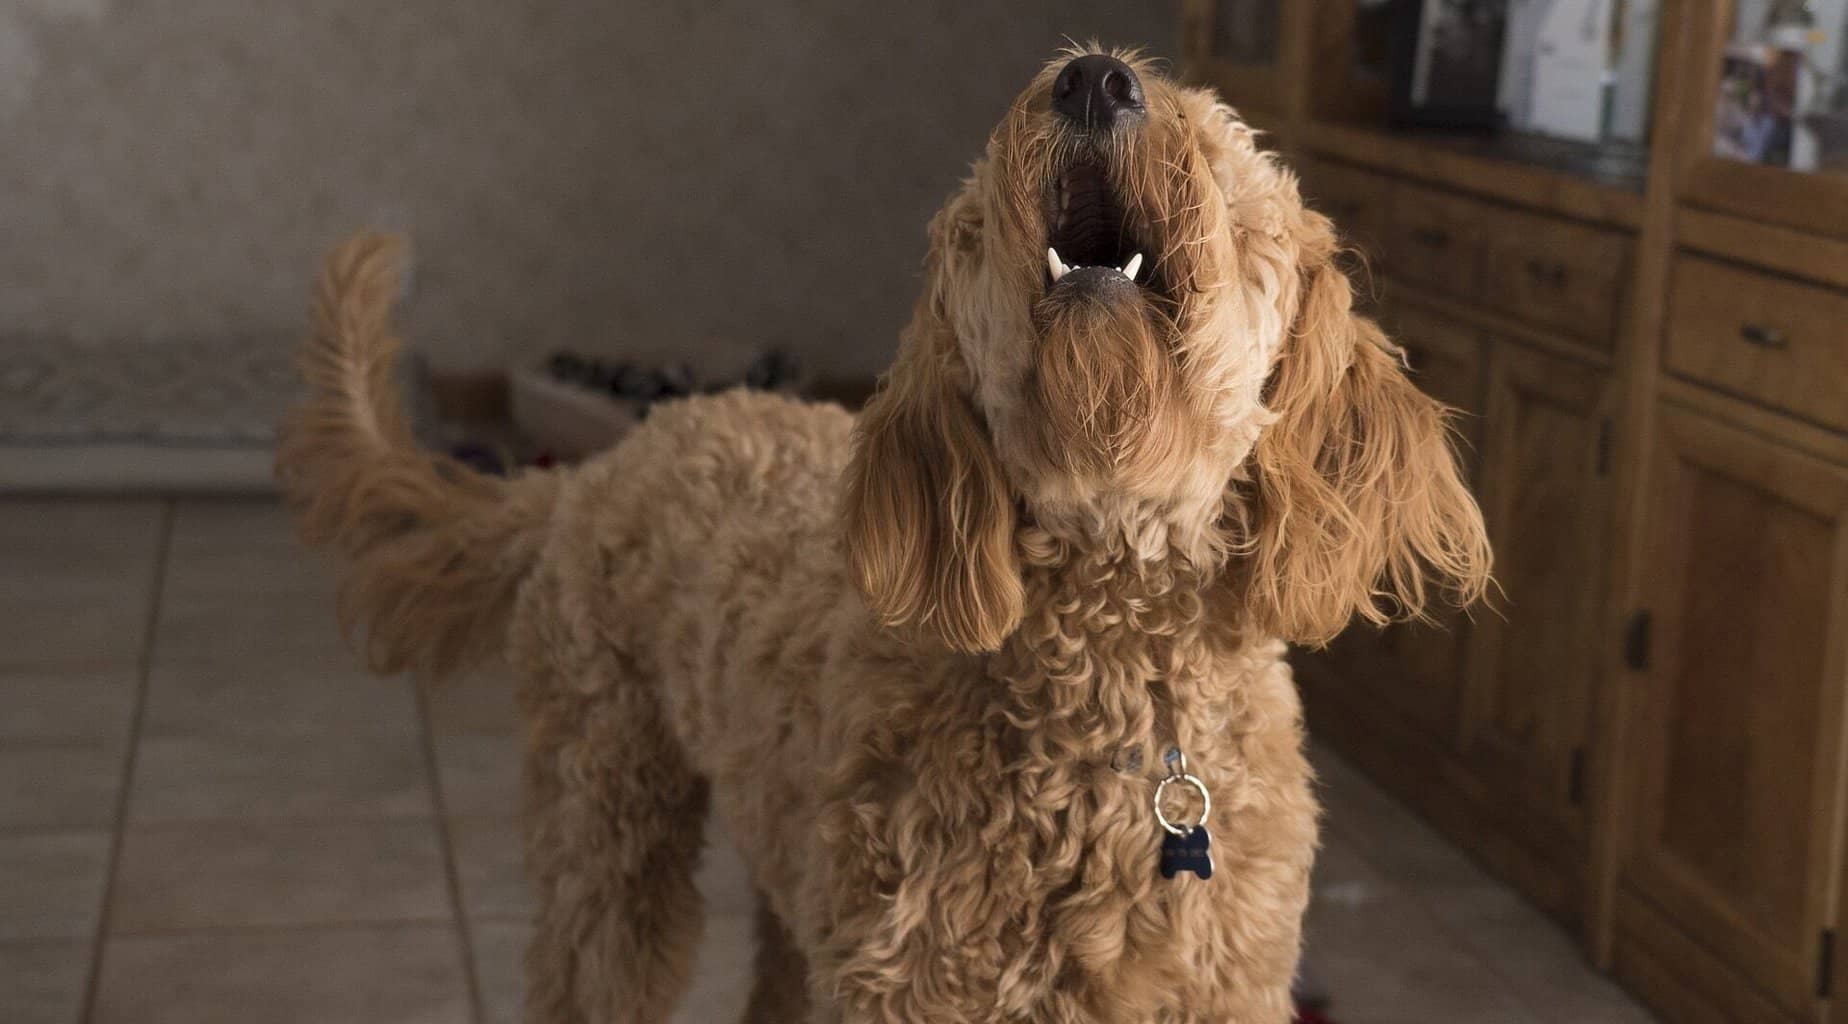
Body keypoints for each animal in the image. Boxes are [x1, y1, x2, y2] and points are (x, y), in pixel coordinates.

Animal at [280, 47, 1485, 1020]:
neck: (1109, 684)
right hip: (608, 823)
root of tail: (604, 464)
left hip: (786, 867)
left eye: (1221, 152)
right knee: (593, 963)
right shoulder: (912, 981)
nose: (1095, 77)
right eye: (979, 211)